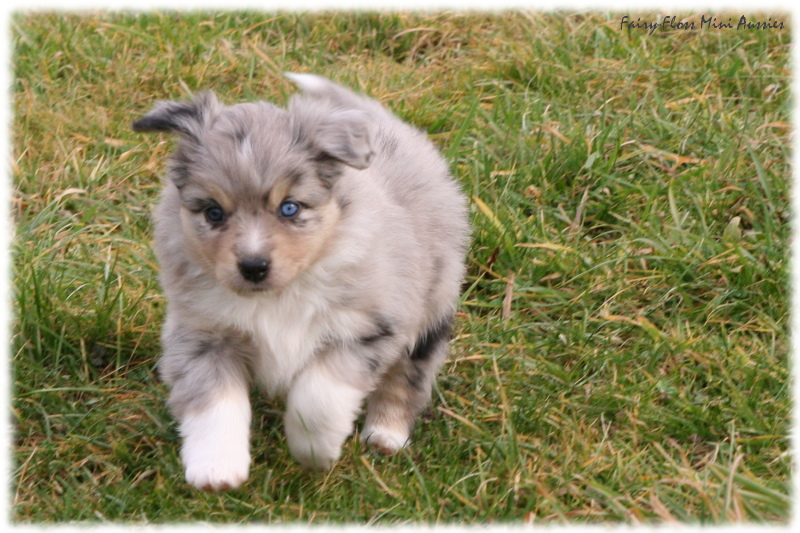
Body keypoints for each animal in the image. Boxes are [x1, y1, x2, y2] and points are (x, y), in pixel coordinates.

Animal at [131, 74, 468, 490]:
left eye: (289, 207)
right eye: (213, 212)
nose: (253, 266)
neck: (278, 295)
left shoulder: (367, 328)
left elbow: (318, 396)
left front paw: (314, 450)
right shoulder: (202, 334)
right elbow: (213, 401)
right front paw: (216, 467)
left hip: (431, 305)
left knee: (408, 376)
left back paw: (386, 434)